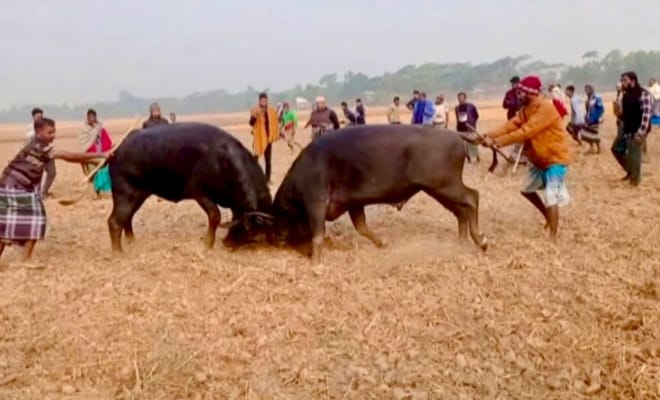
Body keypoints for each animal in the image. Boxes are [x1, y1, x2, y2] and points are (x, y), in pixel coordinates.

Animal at [107, 122, 273, 251]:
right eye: (250, 231)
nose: (226, 243)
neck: (223, 161)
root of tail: (115, 152)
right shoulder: (199, 192)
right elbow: (215, 216)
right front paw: (207, 244)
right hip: (125, 193)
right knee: (114, 221)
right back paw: (118, 252)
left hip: (140, 194)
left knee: (127, 217)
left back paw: (132, 242)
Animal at [223, 124, 488, 264]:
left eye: (246, 226)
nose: (225, 240)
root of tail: (456, 134)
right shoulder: (354, 204)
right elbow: (362, 228)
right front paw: (382, 244)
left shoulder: (316, 203)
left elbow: (318, 235)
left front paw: (315, 262)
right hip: (439, 189)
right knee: (460, 211)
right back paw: (461, 242)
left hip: (444, 185)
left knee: (472, 197)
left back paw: (481, 240)